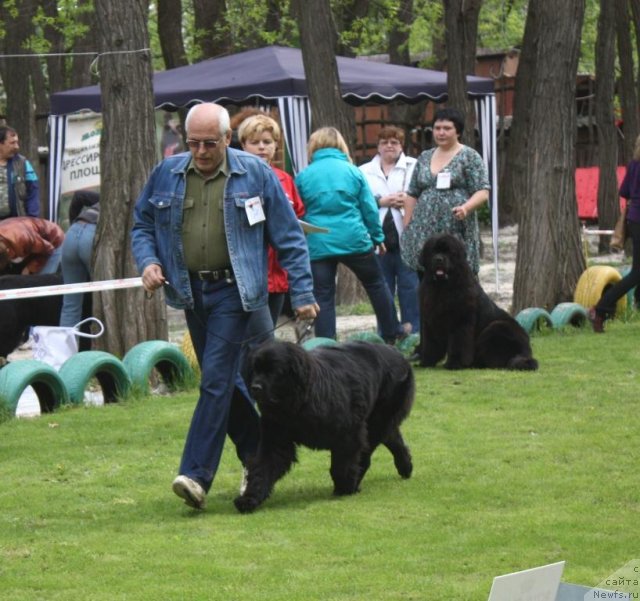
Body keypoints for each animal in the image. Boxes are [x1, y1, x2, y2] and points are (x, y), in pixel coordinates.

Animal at [235, 340, 416, 512]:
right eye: (255, 369)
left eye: (273, 371)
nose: (255, 387)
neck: (299, 402)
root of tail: (398, 353)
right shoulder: (276, 437)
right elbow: (263, 466)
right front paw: (249, 499)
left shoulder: (349, 433)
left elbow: (342, 465)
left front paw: (344, 488)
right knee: (392, 437)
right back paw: (405, 467)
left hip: (378, 419)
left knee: (370, 449)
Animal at [418, 233, 536, 370]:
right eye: (433, 251)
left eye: (448, 252)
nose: (439, 259)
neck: (441, 287)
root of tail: (526, 350)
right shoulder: (429, 320)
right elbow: (429, 344)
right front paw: (426, 362)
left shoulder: (460, 321)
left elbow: (458, 344)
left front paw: (454, 363)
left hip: (497, 326)